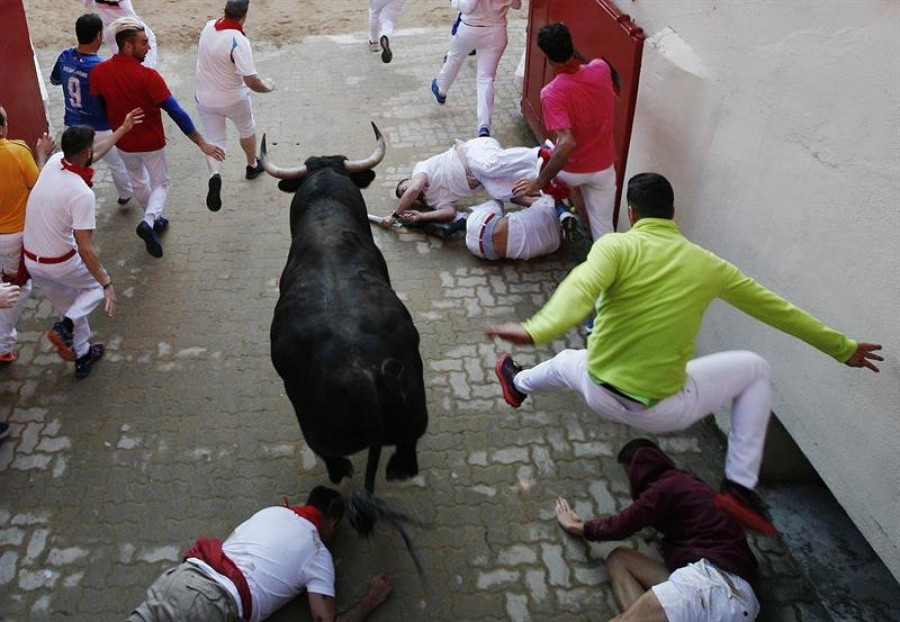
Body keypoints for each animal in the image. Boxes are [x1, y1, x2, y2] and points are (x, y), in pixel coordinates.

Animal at [260, 125, 428, 498]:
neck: (325, 210)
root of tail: (364, 374)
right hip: (413, 404)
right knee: (409, 446)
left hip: (313, 423)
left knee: (331, 455)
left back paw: (341, 473)